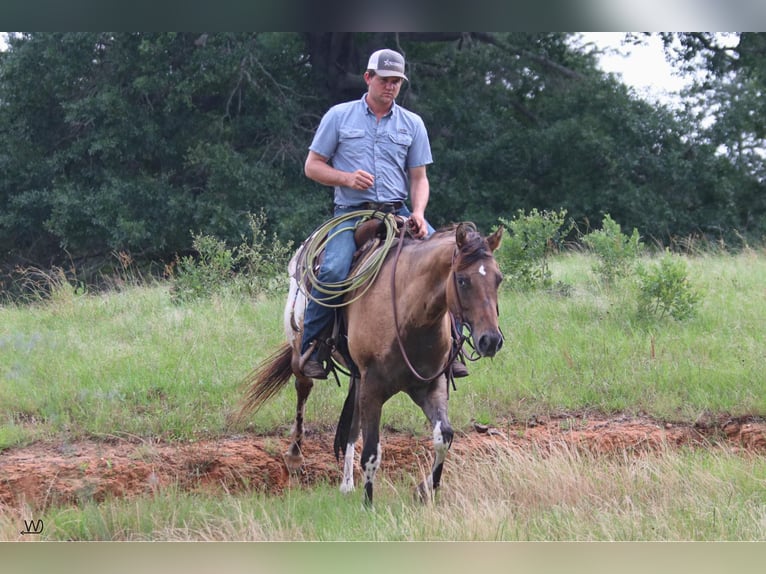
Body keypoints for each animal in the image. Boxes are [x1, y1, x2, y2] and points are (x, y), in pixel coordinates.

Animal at [237, 223, 508, 506]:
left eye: (498, 279)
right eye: (463, 280)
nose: (491, 340)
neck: (410, 315)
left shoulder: (431, 385)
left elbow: (443, 436)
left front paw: (425, 490)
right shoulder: (374, 387)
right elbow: (371, 450)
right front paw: (368, 505)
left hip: (358, 378)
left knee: (352, 424)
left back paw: (347, 483)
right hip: (300, 353)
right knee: (303, 389)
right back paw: (294, 455)